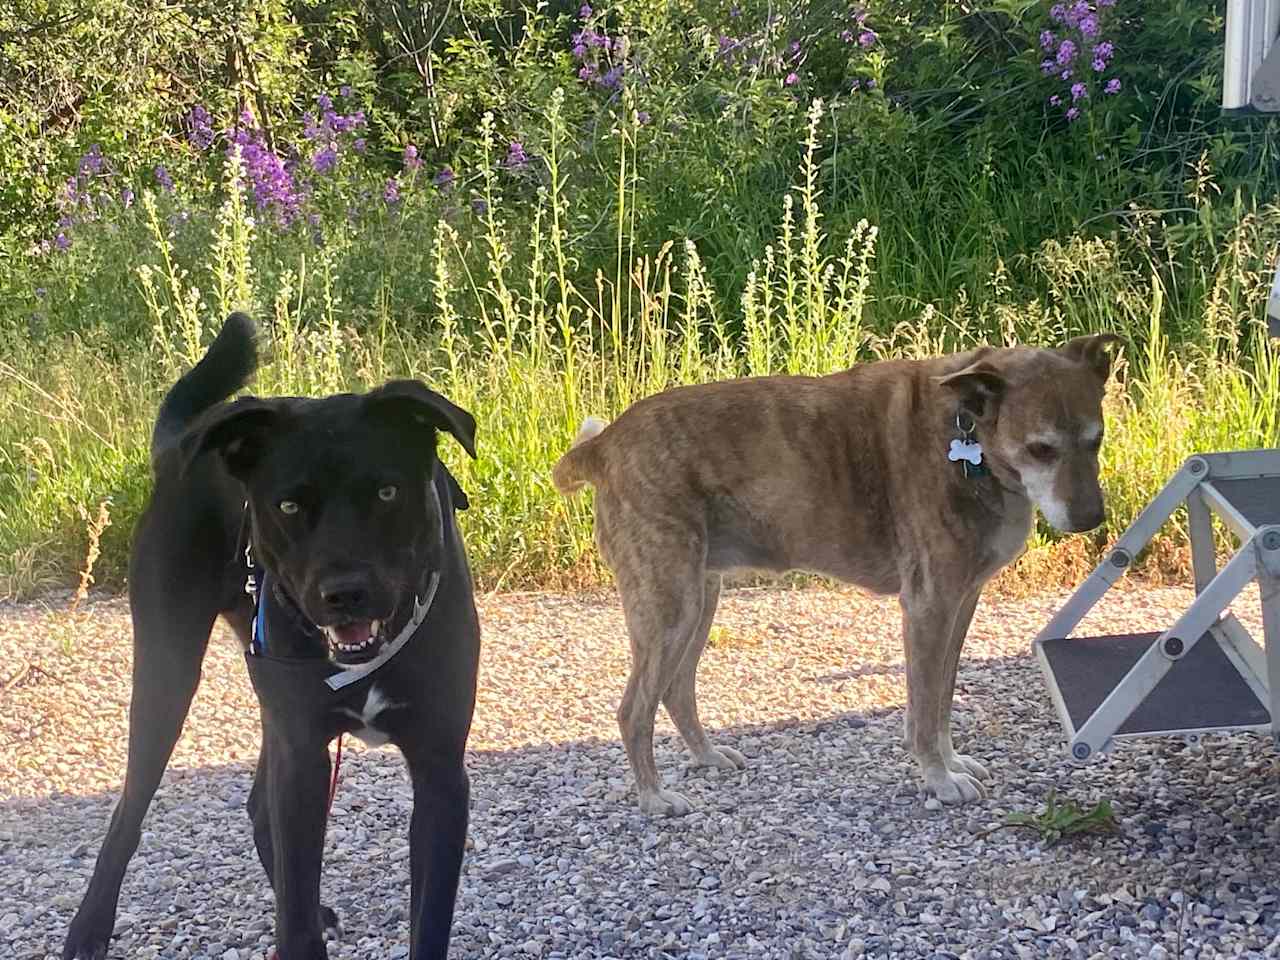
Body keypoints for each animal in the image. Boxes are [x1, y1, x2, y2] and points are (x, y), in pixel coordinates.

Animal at [62, 316, 481, 960]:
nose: (345, 593)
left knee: (260, 803)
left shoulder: (438, 767)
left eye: (386, 492)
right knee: (128, 812)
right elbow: (295, 915)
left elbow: (428, 919)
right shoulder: (304, 752)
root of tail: (181, 444)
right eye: (287, 505)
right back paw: (86, 932)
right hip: (168, 671)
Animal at [550, 335, 1121, 814]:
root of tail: (605, 445)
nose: (1092, 519)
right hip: (671, 604)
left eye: (1096, 440)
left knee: (675, 691)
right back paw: (653, 797)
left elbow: (942, 701)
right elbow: (923, 710)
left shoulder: (962, 603)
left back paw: (707, 757)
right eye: (1040, 449)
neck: (968, 435)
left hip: (699, 599)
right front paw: (938, 780)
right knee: (633, 709)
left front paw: (951, 762)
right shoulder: (929, 606)